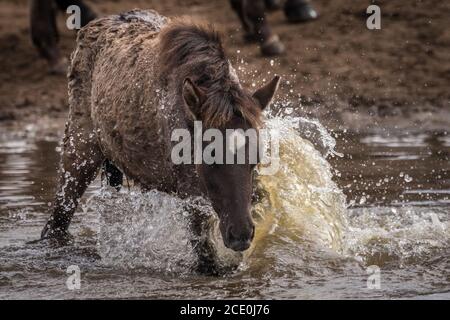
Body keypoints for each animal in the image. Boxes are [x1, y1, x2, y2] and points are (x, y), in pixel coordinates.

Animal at [42, 9, 282, 270]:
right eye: (209, 158)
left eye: (256, 159)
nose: (240, 235)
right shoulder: (190, 195)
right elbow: (206, 260)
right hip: (79, 152)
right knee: (55, 223)